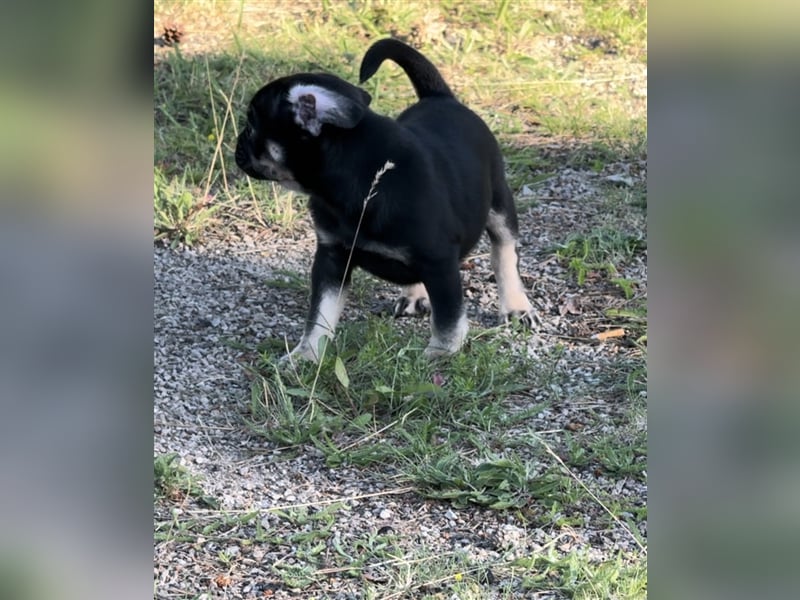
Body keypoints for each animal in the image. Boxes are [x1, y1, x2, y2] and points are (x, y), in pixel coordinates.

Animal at [238, 42, 536, 364]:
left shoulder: (440, 262)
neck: (359, 175)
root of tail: (441, 96)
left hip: (500, 203)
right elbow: (319, 313)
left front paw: (440, 353)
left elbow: (449, 318)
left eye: (251, 126)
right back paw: (414, 294)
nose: (237, 145)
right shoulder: (331, 258)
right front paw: (306, 354)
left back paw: (516, 306)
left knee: (504, 253)